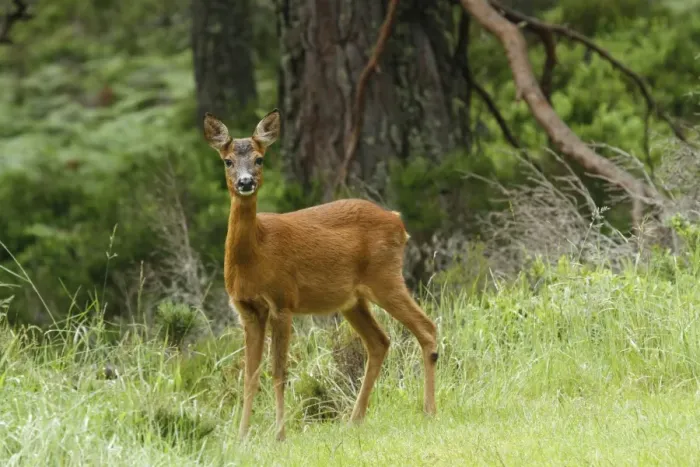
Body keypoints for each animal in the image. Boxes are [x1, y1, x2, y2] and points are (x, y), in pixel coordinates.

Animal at [202, 109, 438, 441]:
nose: (245, 182)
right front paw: (242, 436)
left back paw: (429, 411)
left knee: (426, 328)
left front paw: (279, 435)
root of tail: (397, 221)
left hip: (386, 277)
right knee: (380, 341)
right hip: (353, 300)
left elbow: (279, 371)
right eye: (227, 161)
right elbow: (250, 374)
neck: (256, 254)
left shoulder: (282, 300)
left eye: (260, 159)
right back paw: (355, 419)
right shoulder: (246, 309)